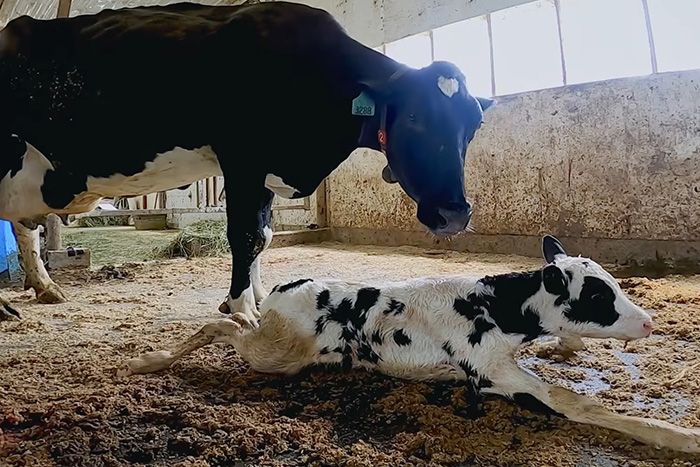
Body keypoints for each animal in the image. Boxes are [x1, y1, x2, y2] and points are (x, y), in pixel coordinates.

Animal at [0, 1, 494, 321]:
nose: (455, 213)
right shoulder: (242, 159)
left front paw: (256, 298)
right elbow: (245, 236)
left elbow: (266, 236)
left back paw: (44, 287)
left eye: (473, 126)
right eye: (413, 117)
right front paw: (242, 311)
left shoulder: (266, 172)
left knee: (24, 228)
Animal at [118, 235, 700, 454]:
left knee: (238, 322)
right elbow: (576, 402)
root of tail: (291, 287)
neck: (495, 308)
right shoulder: (493, 373)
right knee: (222, 328)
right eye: (599, 295)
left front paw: (567, 346)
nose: (649, 324)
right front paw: (678, 436)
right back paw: (151, 359)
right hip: (277, 356)